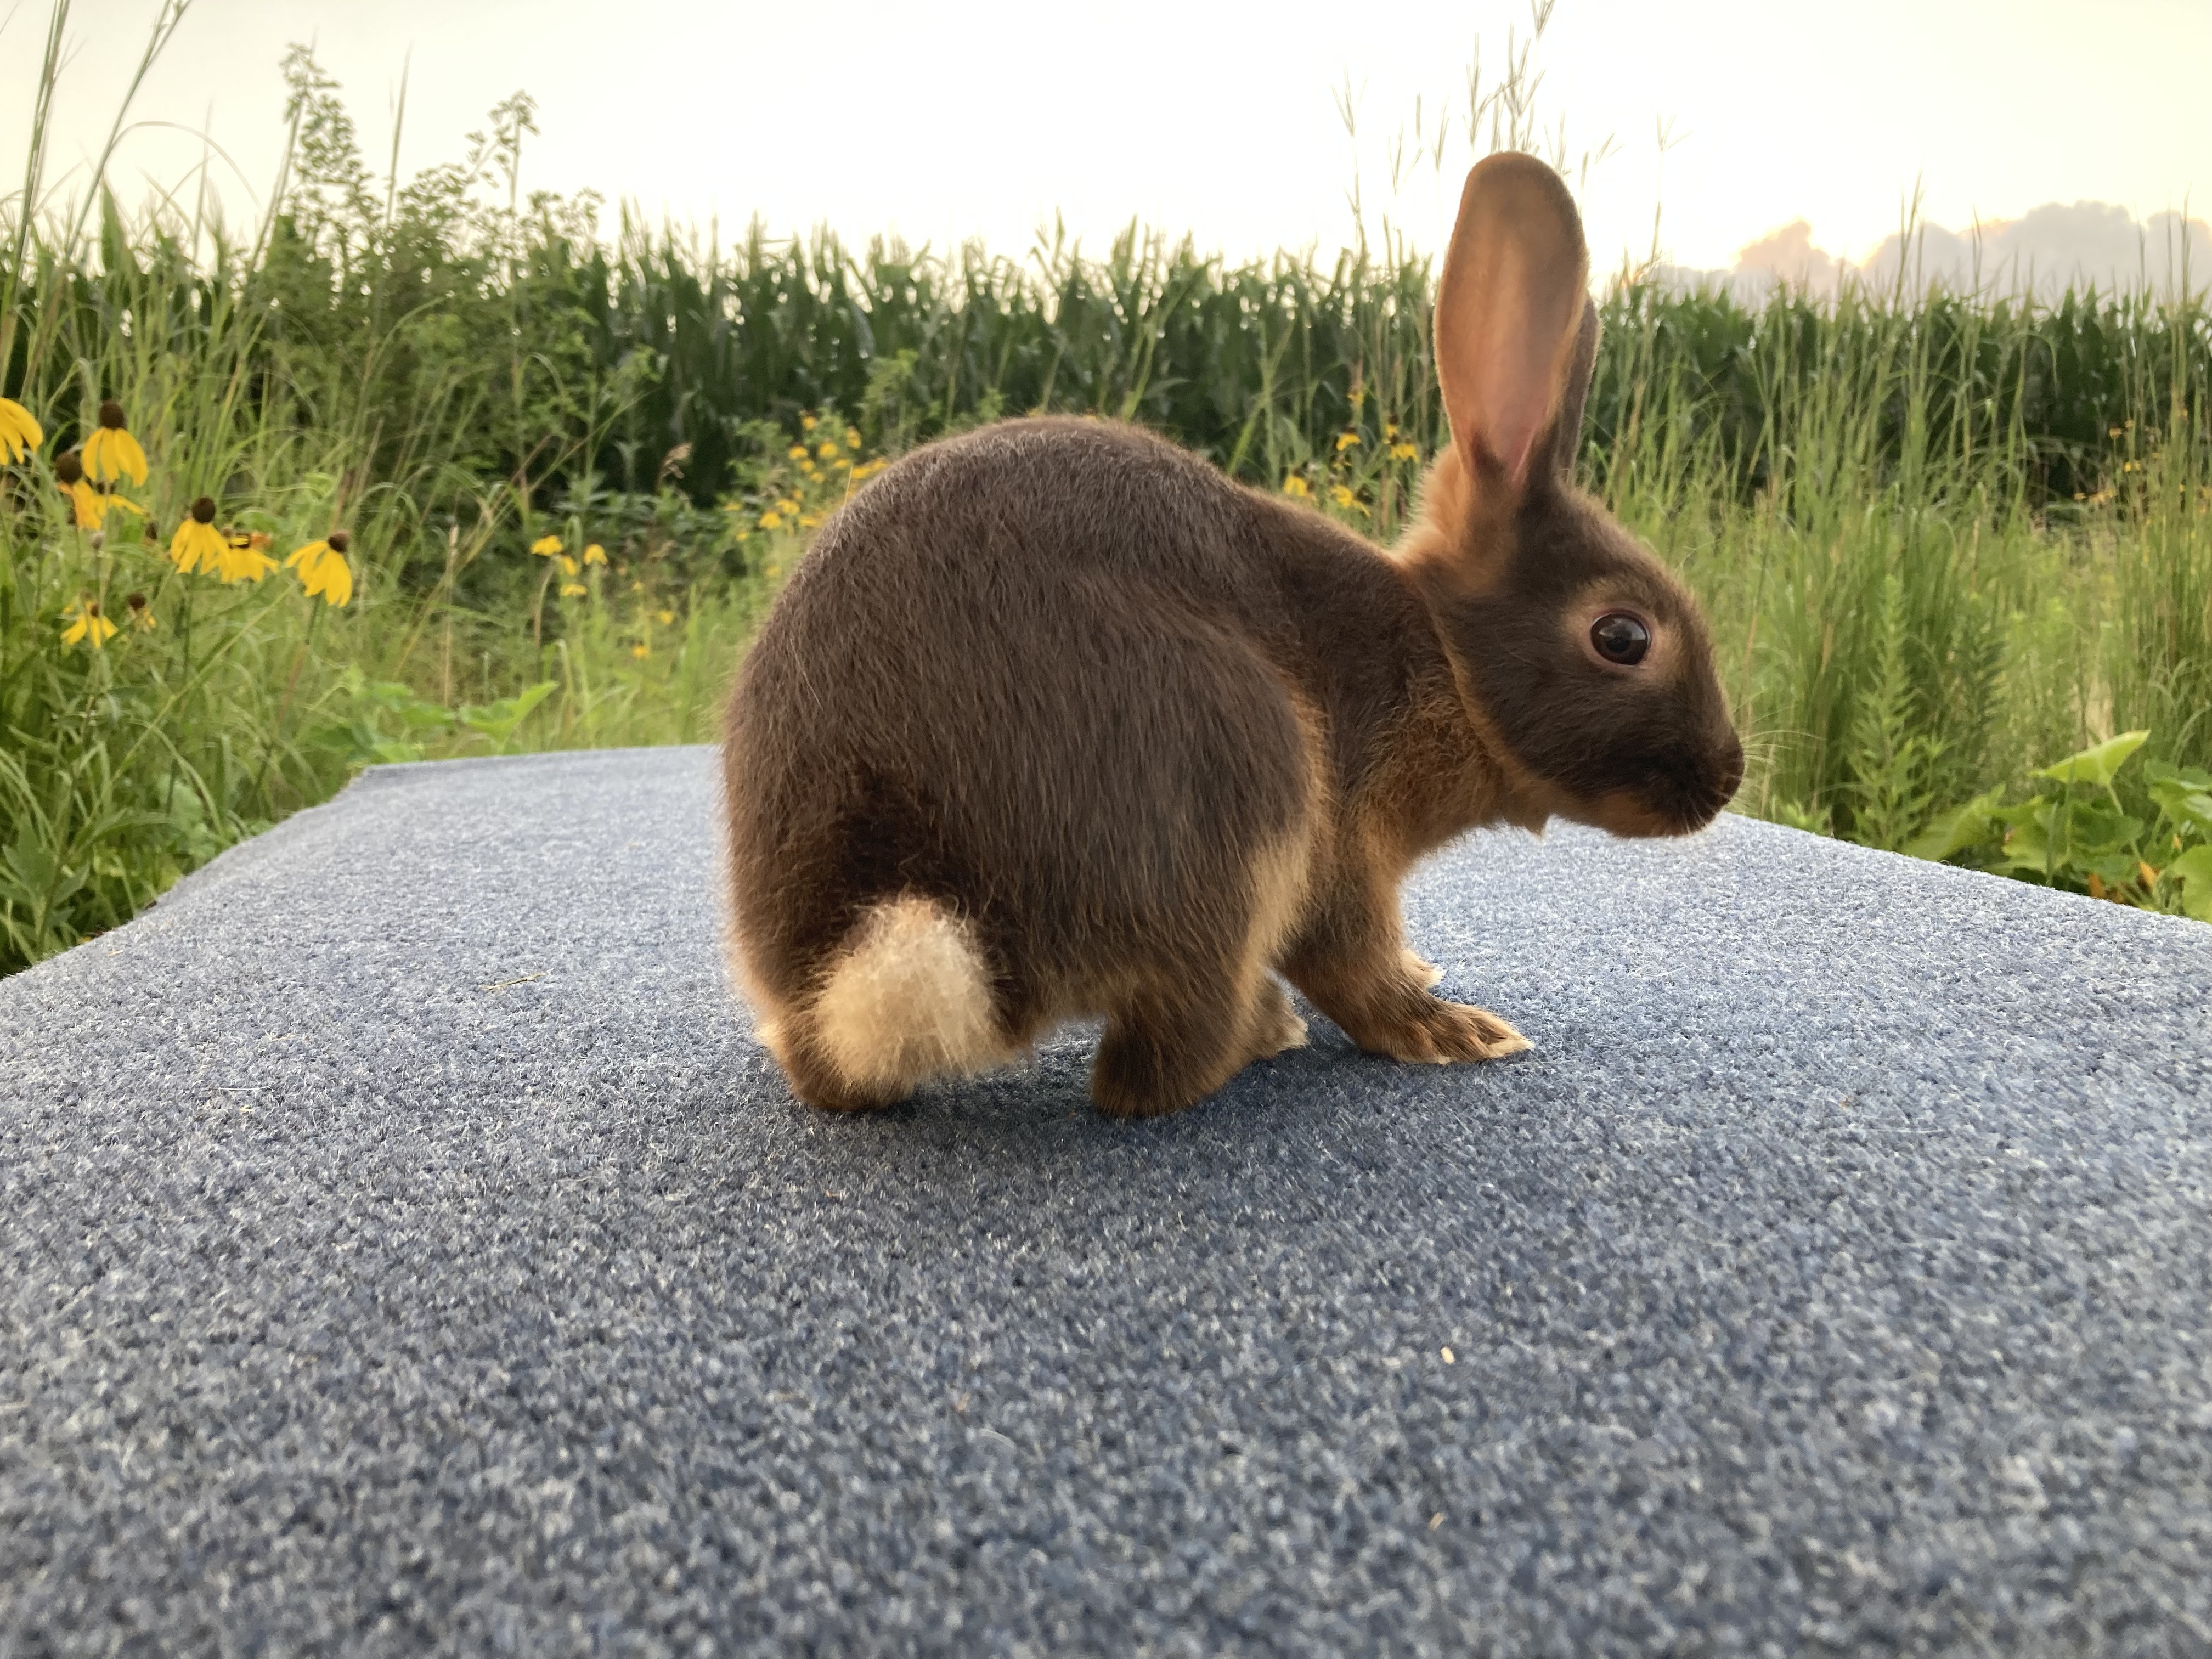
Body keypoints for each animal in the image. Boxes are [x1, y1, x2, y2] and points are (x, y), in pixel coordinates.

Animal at [720, 152, 1744, 1118]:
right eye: (1622, 636)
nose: (1726, 779)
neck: (1441, 657)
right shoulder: (1345, 845)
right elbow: (1352, 961)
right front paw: (1446, 1027)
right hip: (1233, 783)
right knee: (1149, 1072)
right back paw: (1266, 1034)